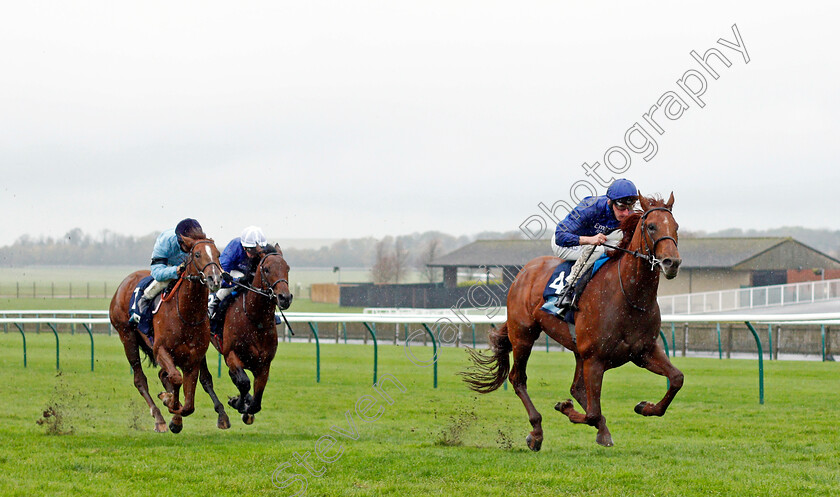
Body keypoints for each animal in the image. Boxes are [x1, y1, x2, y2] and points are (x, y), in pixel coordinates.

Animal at [111, 234, 231, 432]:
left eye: (218, 254)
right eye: (197, 254)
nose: (215, 278)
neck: (186, 313)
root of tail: (124, 283)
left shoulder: (193, 358)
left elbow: (189, 403)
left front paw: (176, 416)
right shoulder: (160, 350)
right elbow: (175, 378)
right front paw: (169, 403)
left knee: (163, 376)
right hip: (127, 336)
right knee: (140, 379)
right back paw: (159, 418)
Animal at [462, 194, 684, 450]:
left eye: (676, 227)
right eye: (651, 226)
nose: (671, 262)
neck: (629, 295)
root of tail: (523, 272)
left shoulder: (643, 351)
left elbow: (676, 379)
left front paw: (645, 407)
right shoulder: (595, 358)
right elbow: (592, 413)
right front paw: (565, 407)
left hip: (578, 351)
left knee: (576, 388)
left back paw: (601, 431)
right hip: (524, 335)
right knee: (518, 379)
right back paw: (536, 432)